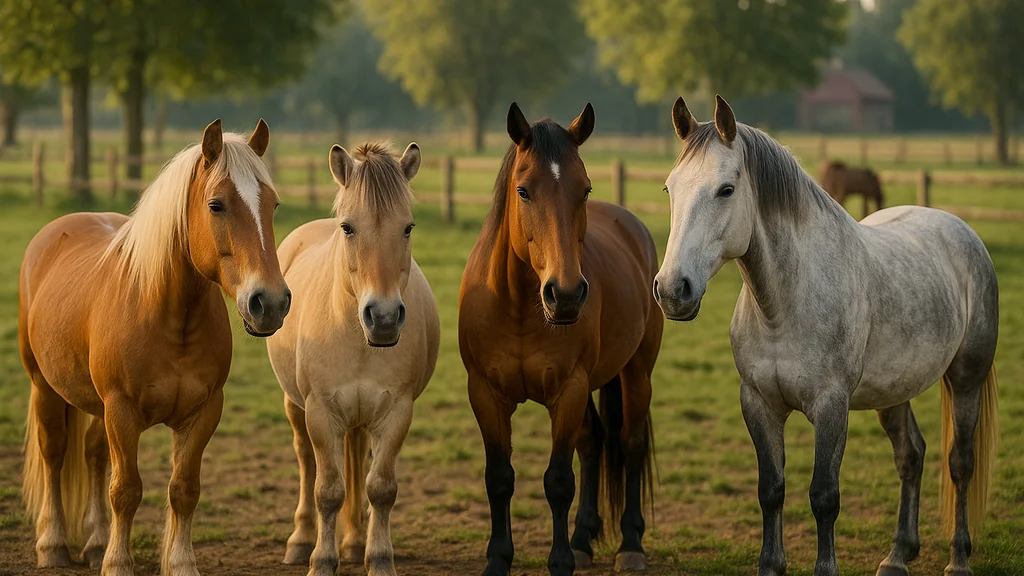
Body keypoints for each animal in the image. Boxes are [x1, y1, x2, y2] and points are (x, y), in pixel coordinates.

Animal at [19, 119, 291, 576]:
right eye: (216, 205)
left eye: (273, 205)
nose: (269, 303)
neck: (166, 315)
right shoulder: (122, 411)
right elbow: (126, 490)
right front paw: (117, 563)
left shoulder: (203, 412)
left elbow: (183, 489)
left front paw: (179, 563)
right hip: (44, 386)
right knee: (54, 453)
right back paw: (53, 544)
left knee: (94, 456)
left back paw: (95, 543)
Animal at [266, 141, 439, 576]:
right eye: (348, 227)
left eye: (408, 227)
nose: (384, 317)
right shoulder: (320, 412)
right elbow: (327, 490)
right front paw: (321, 561)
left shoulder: (397, 412)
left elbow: (381, 488)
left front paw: (378, 558)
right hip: (296, 406)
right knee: (306, 460)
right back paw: (301, 540)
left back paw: (356, 540)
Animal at [458, 102, 663, 576]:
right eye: (523, 191)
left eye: (584, 190)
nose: (566, 294)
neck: (520, 304)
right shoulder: (485, 394)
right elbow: (499, 479)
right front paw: (498, 559)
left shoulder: (567, 390)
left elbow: (557, 482)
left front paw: (561, 561)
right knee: (593, 443)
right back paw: (585, 538)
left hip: (636, 373)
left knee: (629, 444)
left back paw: (630, 545)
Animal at [654, 95, 999, 576]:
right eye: (670, 189)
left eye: (726, 190)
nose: (672, 291)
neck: (784, 306)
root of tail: (961, 230)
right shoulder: (758, 403)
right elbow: (771, 490)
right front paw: (771, 564)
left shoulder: (831, 406)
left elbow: (824, 497)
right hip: (894, 392)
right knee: (910, 456)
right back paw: (898, 555)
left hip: (967, 378)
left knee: (960, 463)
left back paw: (959, 559)